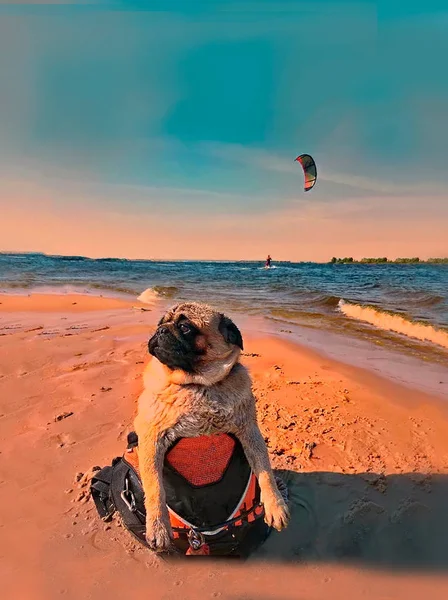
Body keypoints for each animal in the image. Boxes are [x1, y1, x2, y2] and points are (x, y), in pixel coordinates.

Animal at [133, 302, 288, 552]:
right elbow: (155, 487)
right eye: (160, 324)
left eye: (185, 327)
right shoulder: (151, 438)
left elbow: (265, 472)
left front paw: (275, 505)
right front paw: (158, 527)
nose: (161, 330)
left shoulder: (250, 433)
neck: (198, 386)